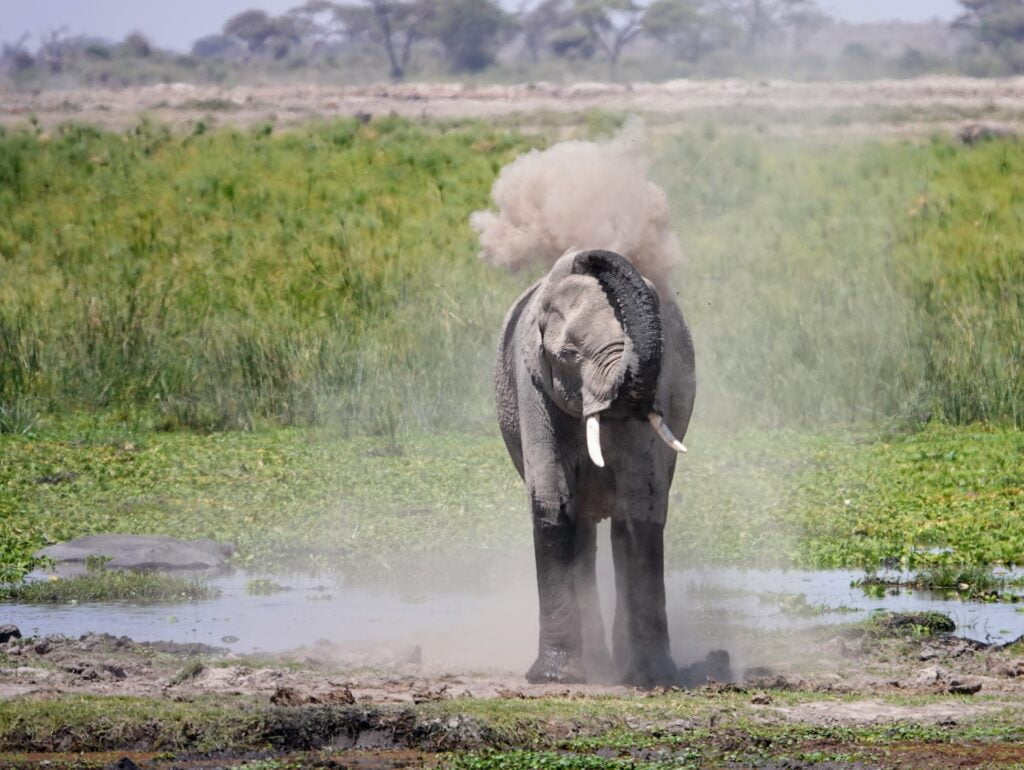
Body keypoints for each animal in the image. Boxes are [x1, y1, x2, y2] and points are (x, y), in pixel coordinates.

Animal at [493, 247, 696, 683]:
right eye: (569, 356)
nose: (586, 257)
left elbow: (642, 503)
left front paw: (653, 678)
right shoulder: (533, 386)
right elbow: (552, 501)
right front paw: (554, 678)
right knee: (581, 526)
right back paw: (596, 665)